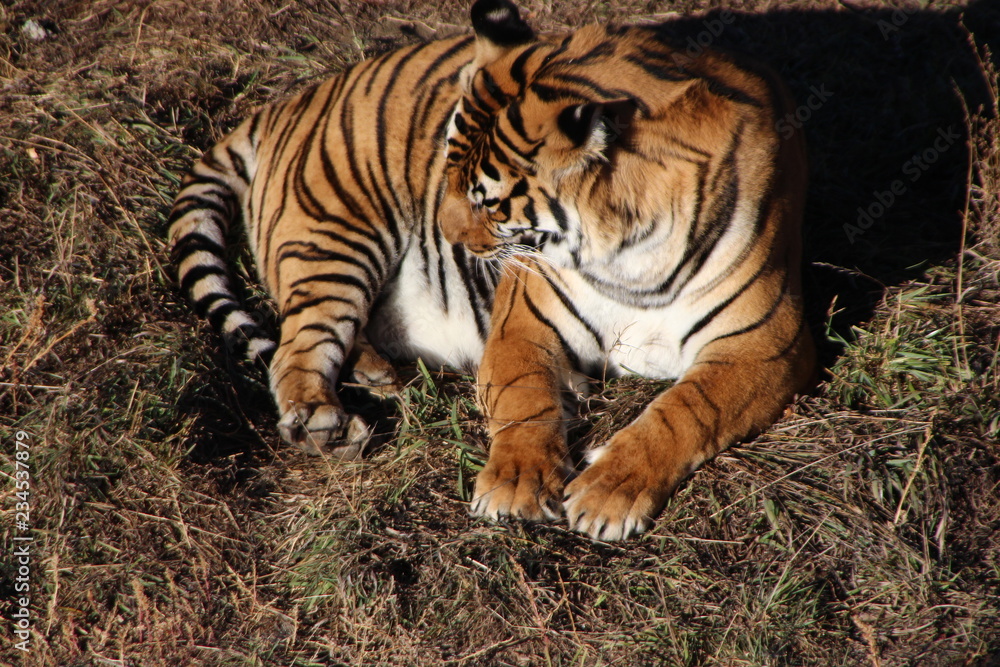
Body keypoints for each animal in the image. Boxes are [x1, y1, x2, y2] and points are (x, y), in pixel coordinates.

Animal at [169, 0, 815, 541]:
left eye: (490, 202)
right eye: (446, 167)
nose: (446, 229)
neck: (628, 256)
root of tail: (289, 101)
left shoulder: (764, 344)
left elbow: (684, 412)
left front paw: (607, 493)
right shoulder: (522, 321)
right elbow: (522, 398)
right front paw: (516, 487)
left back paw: (379, 376)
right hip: (335, 236)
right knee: (294, 349)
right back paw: (324, 423)